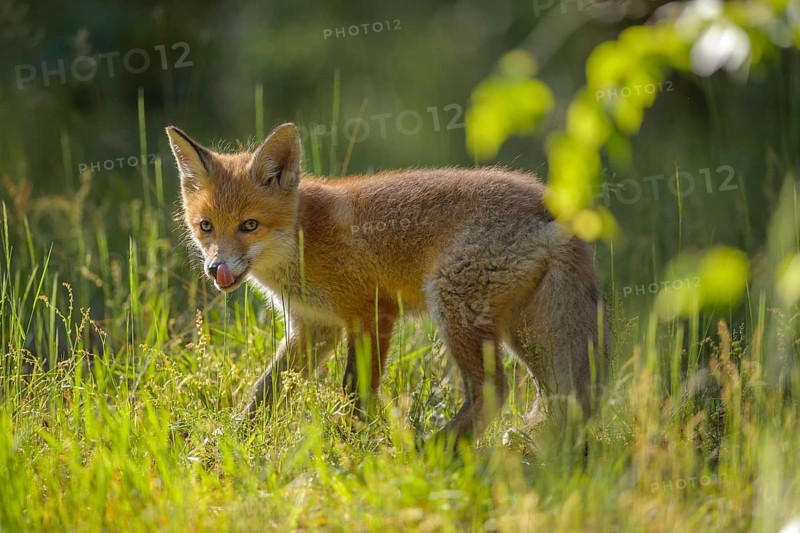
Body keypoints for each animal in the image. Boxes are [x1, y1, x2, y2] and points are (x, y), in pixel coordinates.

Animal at [166, 122, 607, 445]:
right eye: (206, 226)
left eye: (249, 225)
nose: (216, 269)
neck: (305, 238)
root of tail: (553, 203)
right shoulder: (316, 328)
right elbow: (265, 391)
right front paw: (232, 439)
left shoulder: (373, 314)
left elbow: (354, 391)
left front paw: (351, 444)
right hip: (525, 330)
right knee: (557, 395)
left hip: (455, 307)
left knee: (493, 390)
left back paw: (435, 451)